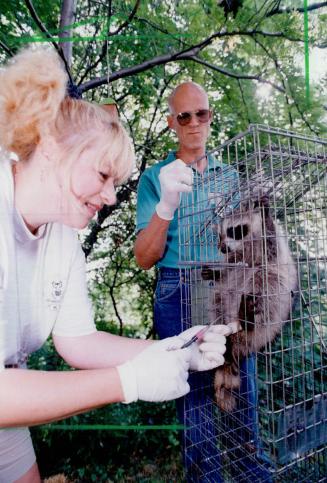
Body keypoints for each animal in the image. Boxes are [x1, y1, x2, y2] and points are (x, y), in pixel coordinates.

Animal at [201, 197, 298, 412]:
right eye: (218, 235)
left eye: (233, 231)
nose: (221, 247)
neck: (243, 248)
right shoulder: (232, 259)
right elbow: (226, 272)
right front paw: (214, 272)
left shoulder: (272, 249)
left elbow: (270, 242)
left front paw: (265, 213)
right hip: (225, 302)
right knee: (220, 292)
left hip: (270, 306)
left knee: (266, 283)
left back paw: (248, 320)